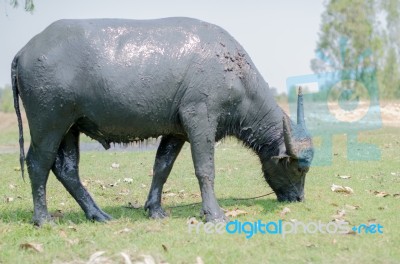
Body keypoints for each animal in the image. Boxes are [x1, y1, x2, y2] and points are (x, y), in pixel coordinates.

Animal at [11, 17, 312, 226]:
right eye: (299, 169)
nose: (299, 198)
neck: (235, 75)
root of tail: (25, 50)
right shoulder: (200, 118)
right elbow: (205, 169)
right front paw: (213, 213)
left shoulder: (176, 132)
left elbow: (162, 167)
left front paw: (154, 209)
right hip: (48, 124)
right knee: (38, 163)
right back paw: (43, 219)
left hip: (70, 127)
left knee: (66, 169)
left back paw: (97, 214)